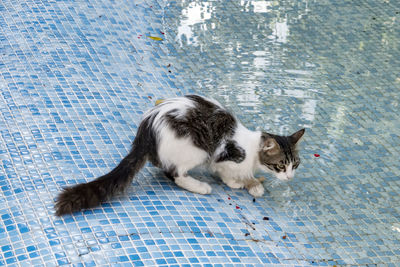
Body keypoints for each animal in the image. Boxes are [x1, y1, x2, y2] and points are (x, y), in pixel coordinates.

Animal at [54, 95, 304, 217]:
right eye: (281, 165)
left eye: (295, 165)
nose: (290, 178)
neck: (251, 152)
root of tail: (147, 128)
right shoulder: (222, 156)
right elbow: (225, 172)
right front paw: (239, 183)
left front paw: (250, 183)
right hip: (197, 149)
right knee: (174, 173)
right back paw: (200, 187)